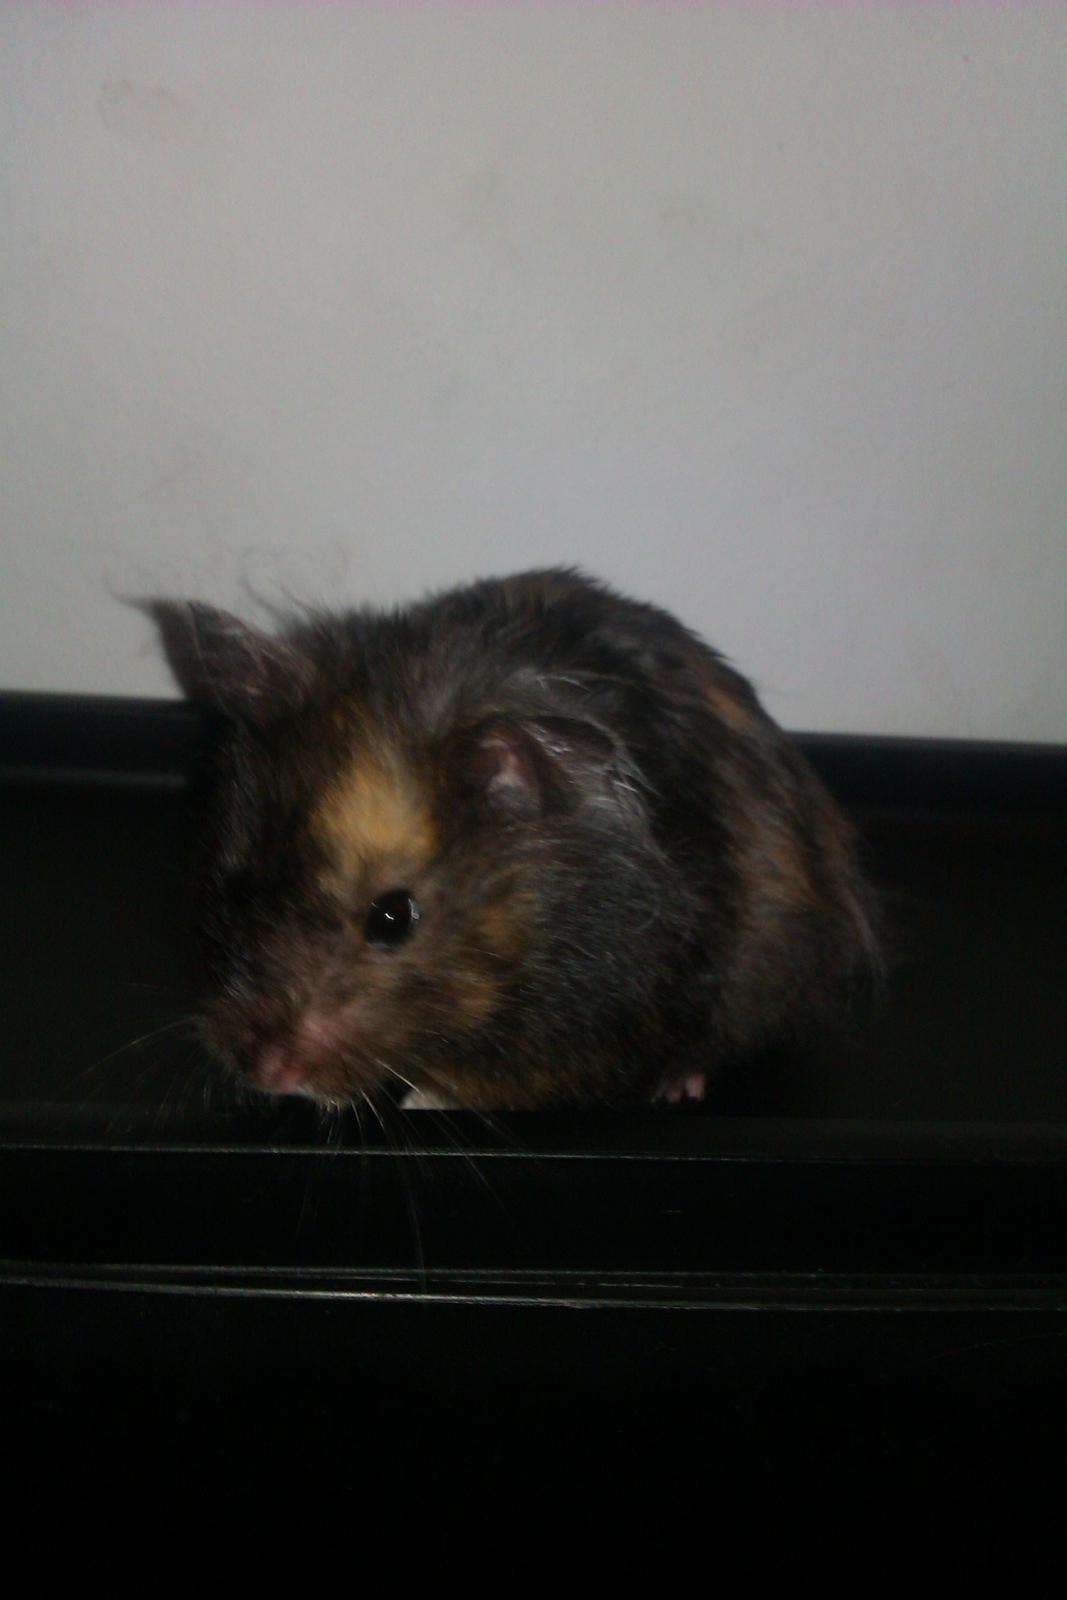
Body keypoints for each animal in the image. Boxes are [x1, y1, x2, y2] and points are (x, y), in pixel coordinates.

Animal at [146, 568, 879, 1111]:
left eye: (392, 918)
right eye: (237, 884)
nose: (264, 1073)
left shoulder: (603, 1023)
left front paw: (419, 1097)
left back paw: (680, 1086)